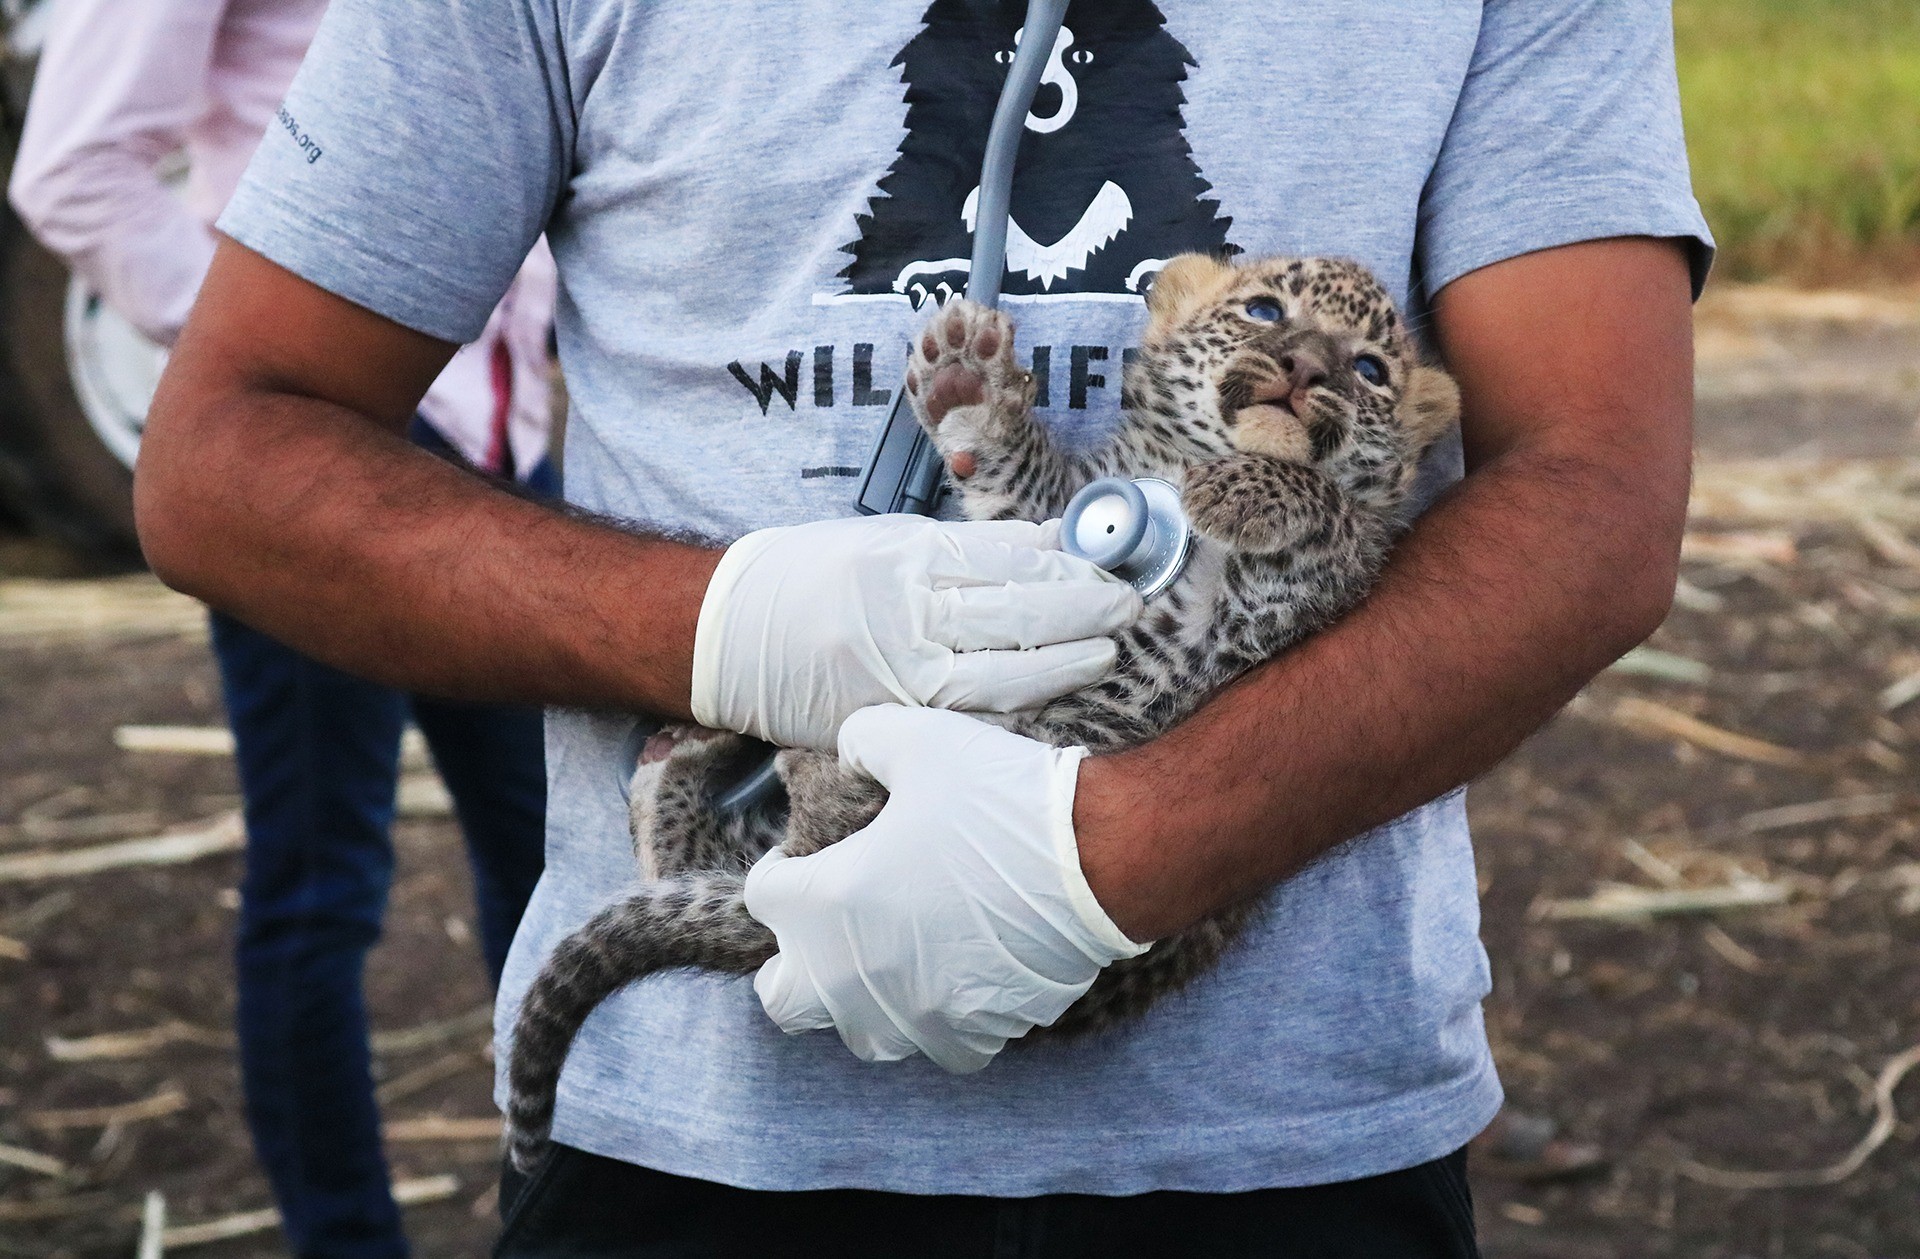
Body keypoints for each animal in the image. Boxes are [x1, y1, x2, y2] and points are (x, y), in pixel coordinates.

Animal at [504, 252, 1461, 1171]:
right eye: (1265, 311)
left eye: (1370, 368)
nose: (1307, 368)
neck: (1180, 466)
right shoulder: (1041, 526)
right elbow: (1013, 484)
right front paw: (968, 388)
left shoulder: (1272, 610)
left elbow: (1334, 513)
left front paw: (1250, 490)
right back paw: (694, 755)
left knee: (782, 842)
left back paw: (763, 768)